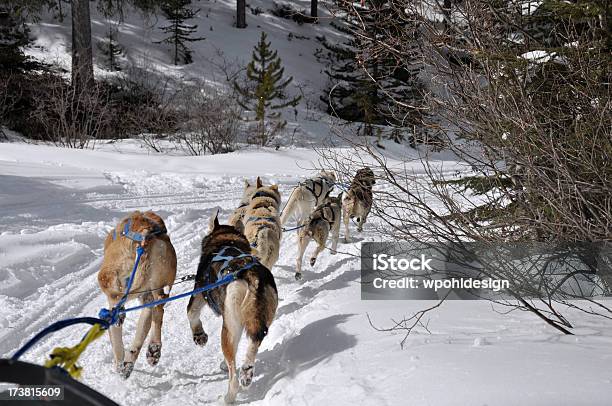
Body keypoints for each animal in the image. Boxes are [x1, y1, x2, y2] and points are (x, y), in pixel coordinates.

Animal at [97, 211, 176, 380]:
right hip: (158, 289)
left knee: (115, 312)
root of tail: (145, 235)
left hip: (106, 277)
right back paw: (152, 349)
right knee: (158, 309)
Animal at [185, 214, 278, 404]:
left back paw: (229, 396)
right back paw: (247, 373)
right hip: (258, 320)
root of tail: (251, 276)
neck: (226, 240)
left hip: (229, 328)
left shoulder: (198, 293)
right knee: (254, 342)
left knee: (232, 373)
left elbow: (191, 313)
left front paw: (200, 336)